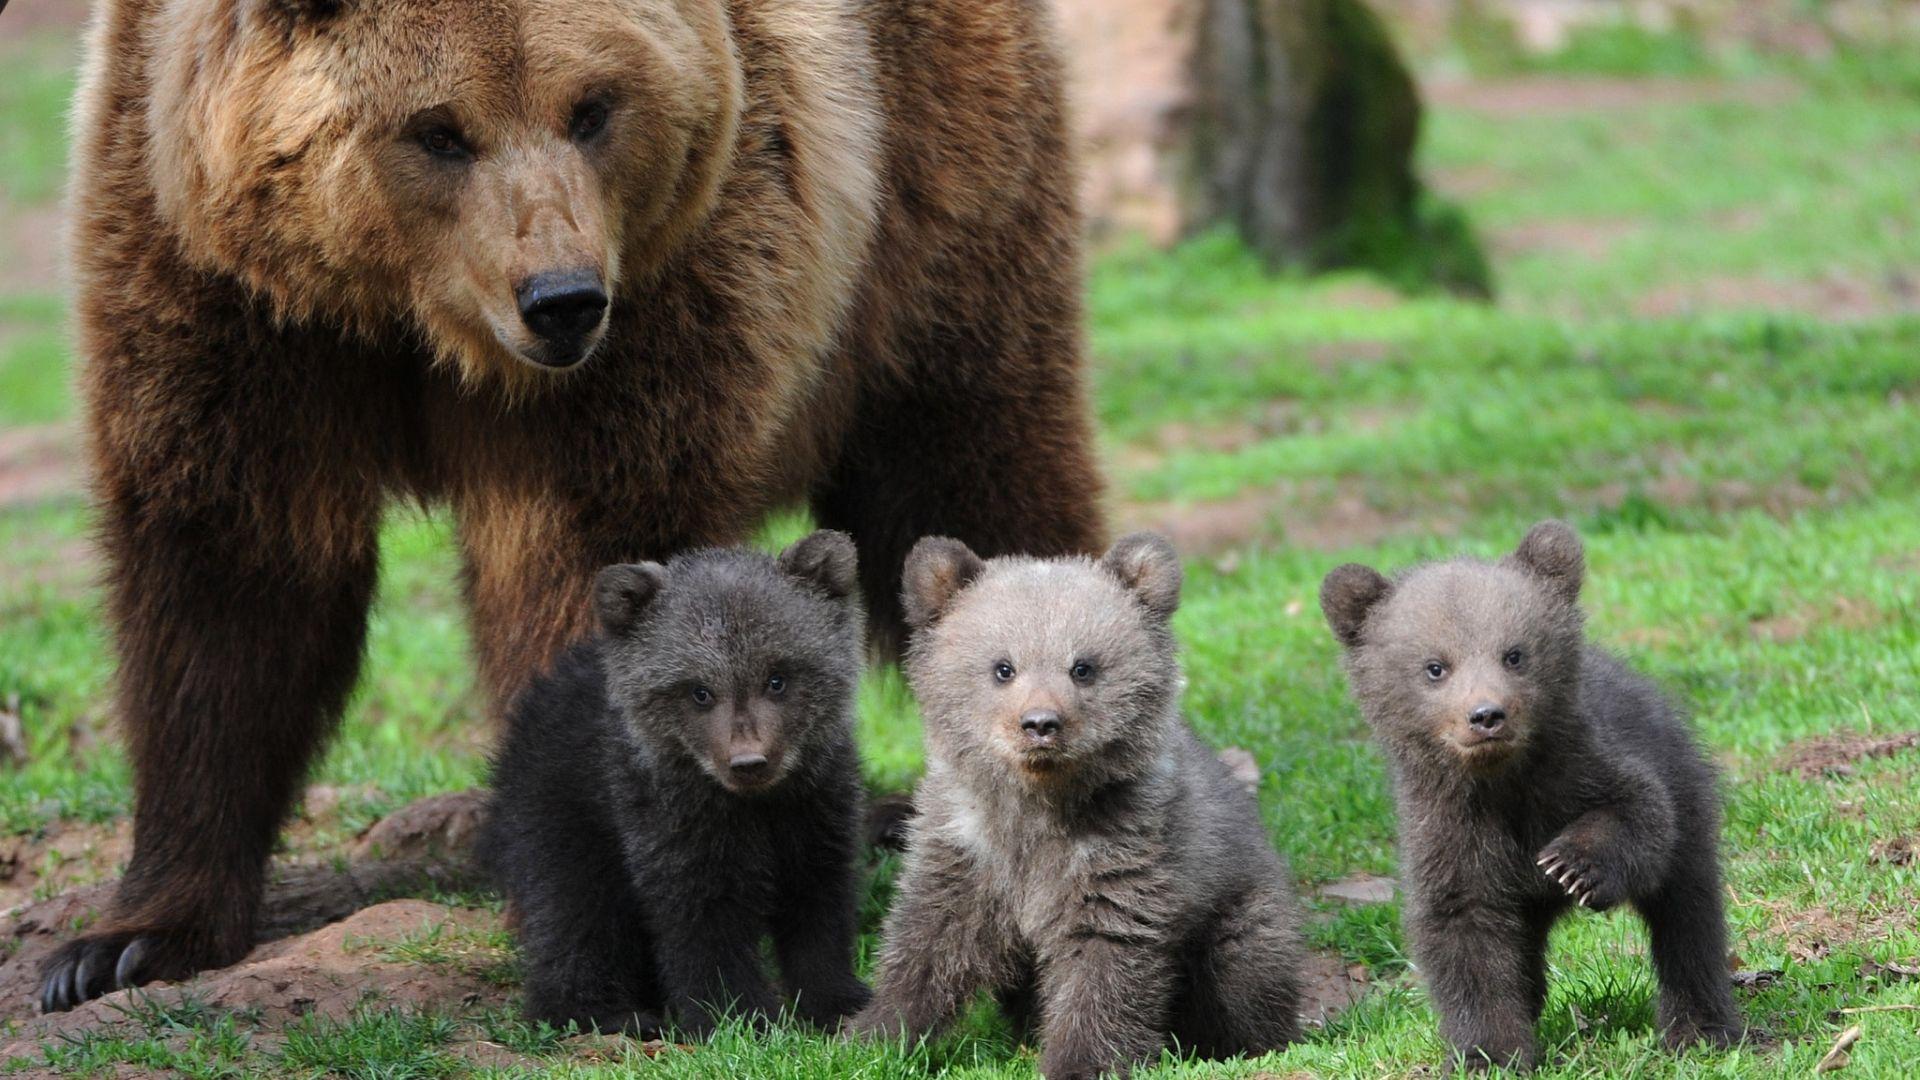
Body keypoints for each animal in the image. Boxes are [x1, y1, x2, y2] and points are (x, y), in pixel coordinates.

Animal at [477, 530, 870, 1036]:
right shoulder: (668, 821)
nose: (748, 762)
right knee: (573, 910)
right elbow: (703, 924)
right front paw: (737, 1015)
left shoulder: (817, 809)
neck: (755, 807)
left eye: (777, 678)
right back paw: (602, 1010)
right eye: (699, 691)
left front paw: (837, 1000)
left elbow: (818, 909)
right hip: (558, 810)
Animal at [848, 533, 1307, 1079]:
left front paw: (1080, 1061)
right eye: (1003, 667)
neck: (1037, 808)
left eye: (1082, 667)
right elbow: (928, 944)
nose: (1040, 723)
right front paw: (874, 1034)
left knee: (1244, 978)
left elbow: (1103, 969)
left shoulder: (1118, 861)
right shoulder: (965, 850)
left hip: (1239, 912)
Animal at [1319, 521, 1747, 1070]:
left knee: (1688, 917)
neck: (1501, 782)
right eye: (1435, 666)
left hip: (1685, 784)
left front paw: (1572, 865)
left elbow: (1638, 813)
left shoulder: (1581, 770)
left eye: (1514, 653)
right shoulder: (1449, 828)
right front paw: (1489, 1052)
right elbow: (1464, 932)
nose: (1486, 715)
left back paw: (1699, 1028)